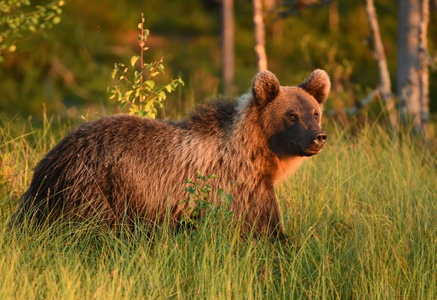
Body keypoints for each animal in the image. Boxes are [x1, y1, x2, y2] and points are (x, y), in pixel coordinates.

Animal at [11, 69, 328, 239]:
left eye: (314, 112)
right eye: (291, 115)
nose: (319, 136)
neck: (256, 153)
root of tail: (55, 153)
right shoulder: (239, 189)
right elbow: (262, 230)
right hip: (96, 186)